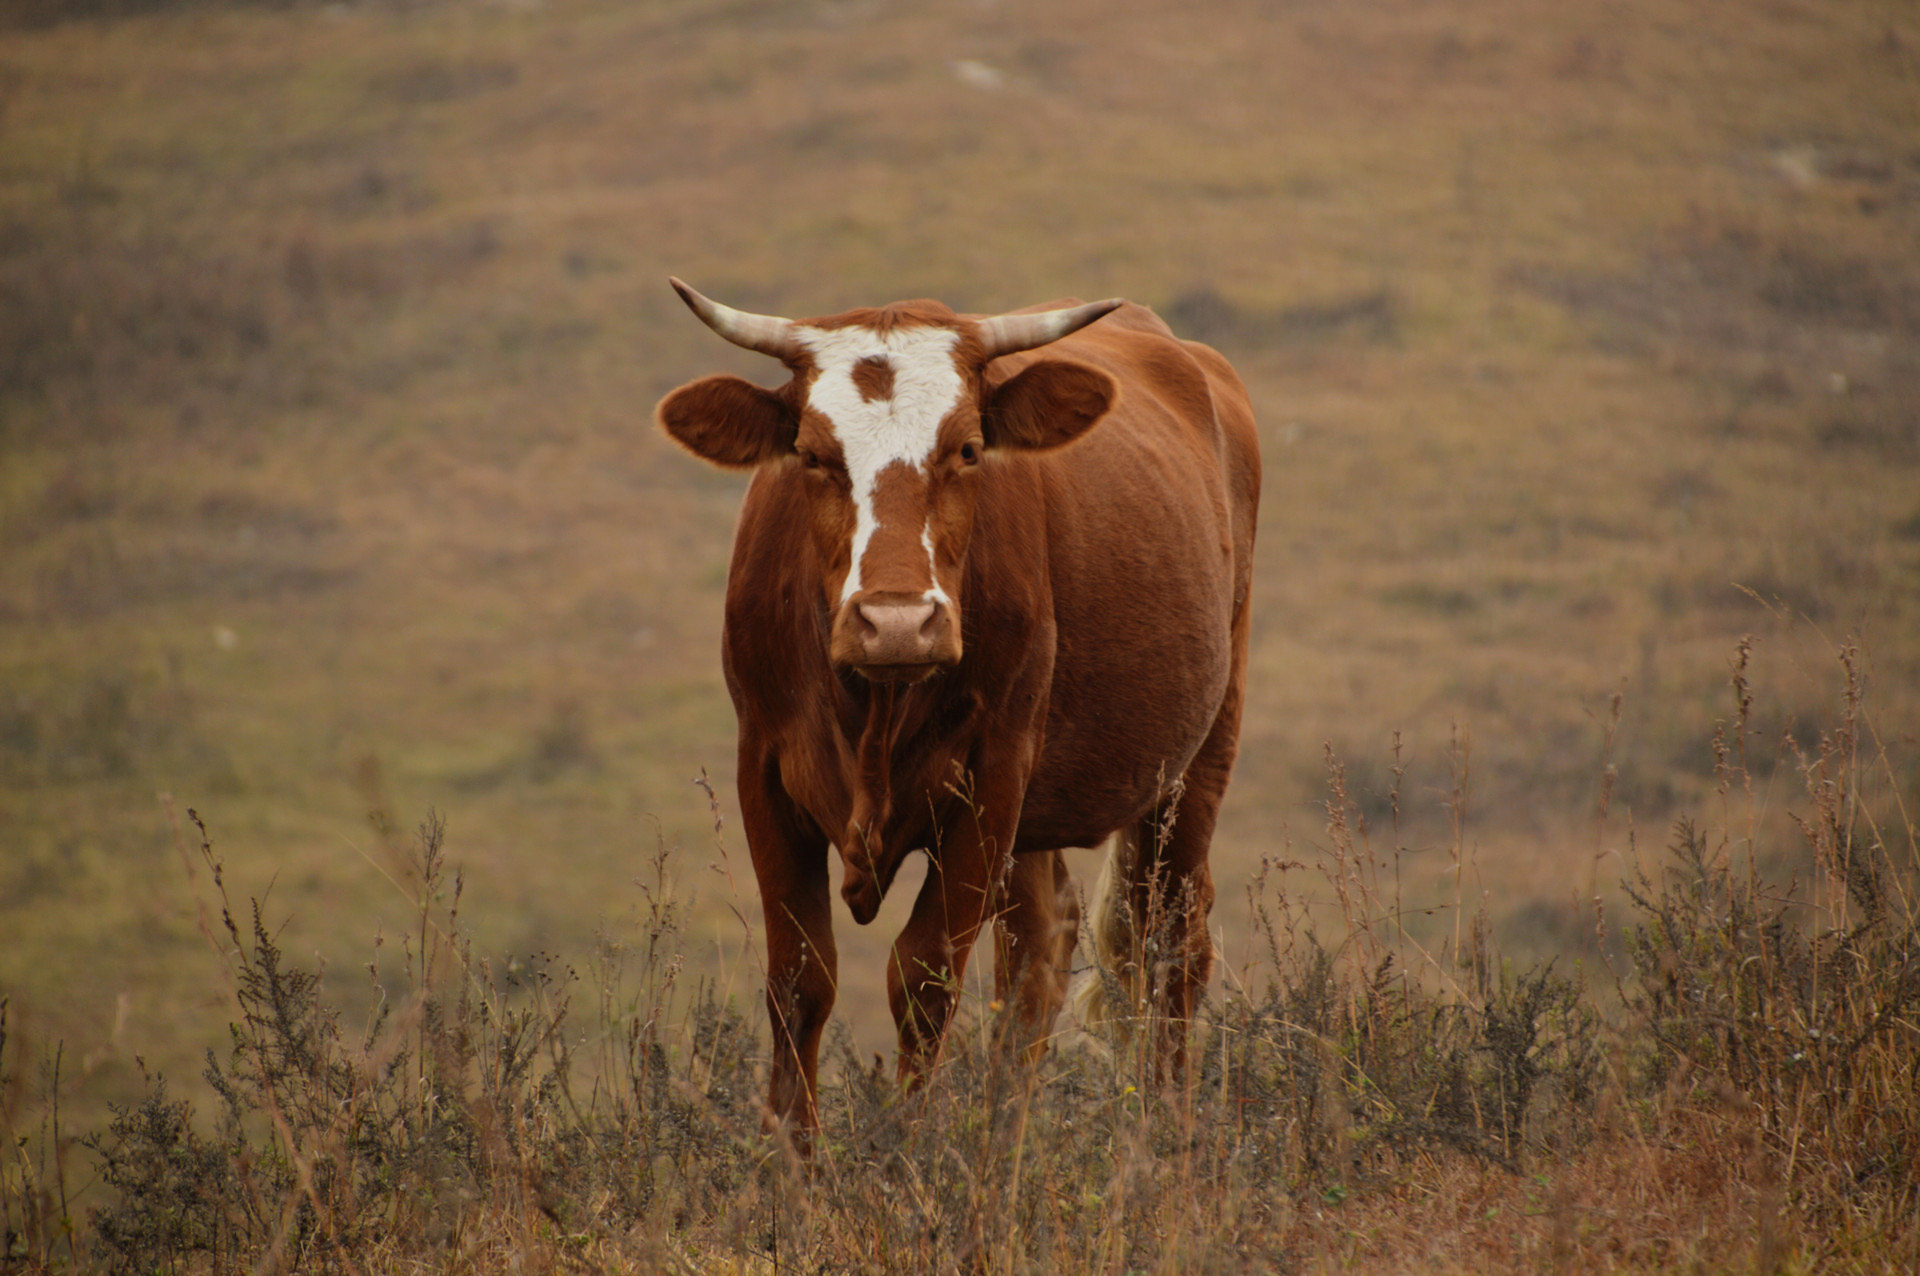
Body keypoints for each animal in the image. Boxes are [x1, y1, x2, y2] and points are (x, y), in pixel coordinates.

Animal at [655, 279, 1260, 1142]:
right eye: (811, 454)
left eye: (969, 449)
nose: (897, 621)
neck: (873, 709)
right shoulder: (763, 772)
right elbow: (800, 979)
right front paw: (790, 1164)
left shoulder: (990, 778)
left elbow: (924, 980)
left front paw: (908, 1153)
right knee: (1040, 945)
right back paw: (1000, 1137)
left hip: (1198, 749)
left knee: (1169, 939)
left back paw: (1164, 1137)